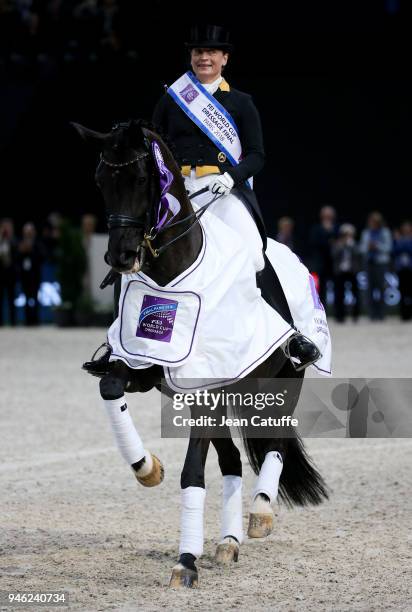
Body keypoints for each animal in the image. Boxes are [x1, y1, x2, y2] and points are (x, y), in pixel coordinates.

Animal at [72, 120, 326, 588]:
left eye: (142, 179)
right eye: (100, 181)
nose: (120, 257)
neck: (170, 273)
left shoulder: (205, 388)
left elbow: (193, 470)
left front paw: (185, 562)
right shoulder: (147, 370)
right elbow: (110, 387)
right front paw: (147, 468)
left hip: (281, 383)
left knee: (276, 440)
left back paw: (260, 514)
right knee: (232, 461)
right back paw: (228, 542)